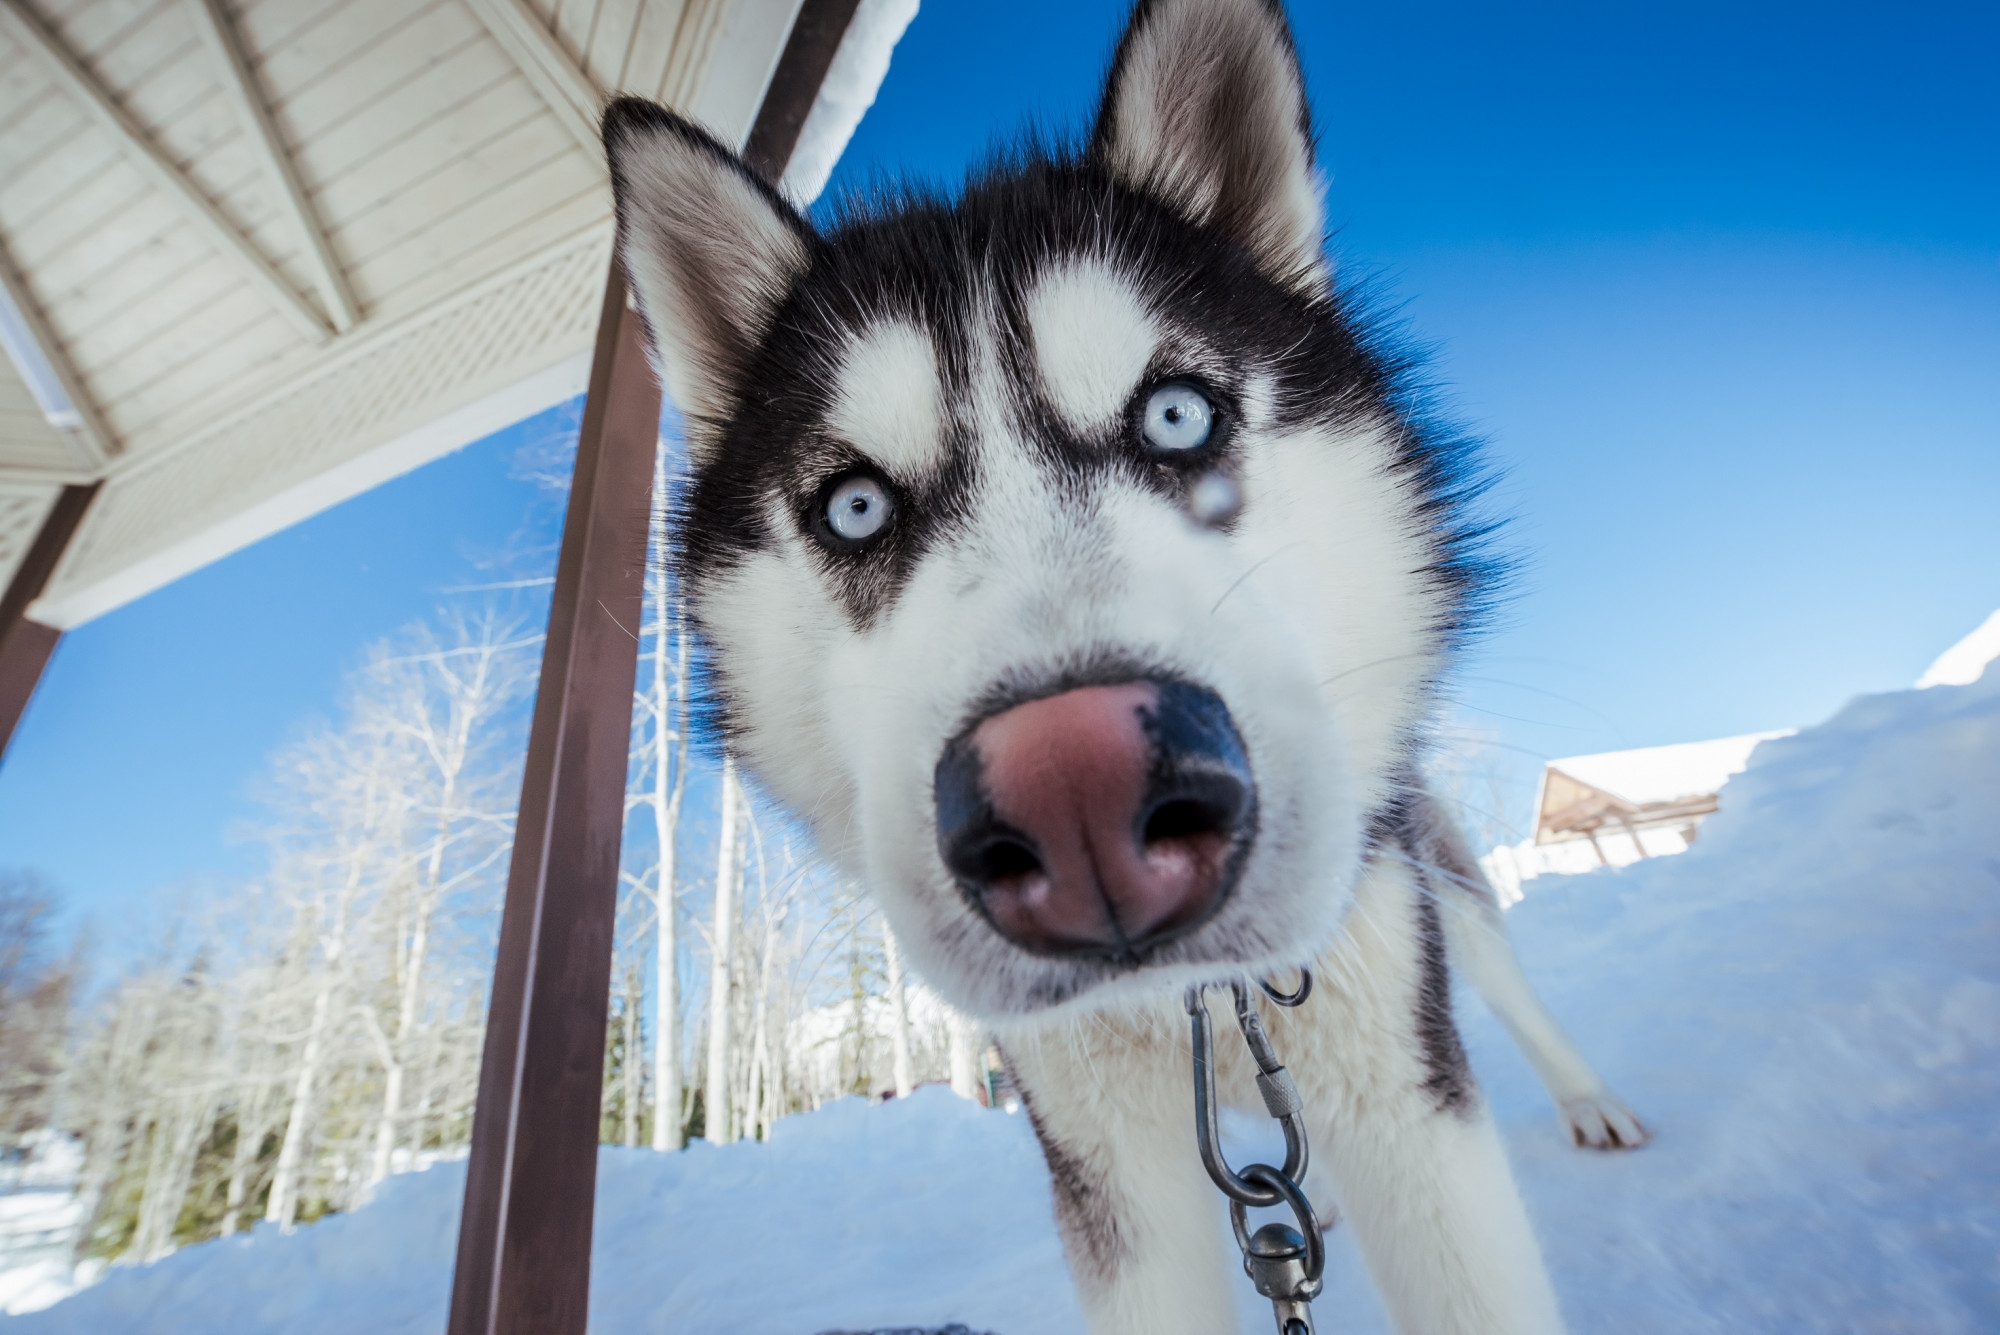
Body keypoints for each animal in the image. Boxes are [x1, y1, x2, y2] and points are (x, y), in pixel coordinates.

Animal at [604, 0, 1640, 1327]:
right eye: (853, 508)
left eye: (1177, 415)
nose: (1078, 793)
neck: (1193, 1011)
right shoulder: (1110, 1181)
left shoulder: (1409, 1115)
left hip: (1432, 888)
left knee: (1500, 974)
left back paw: (1588, 1100)